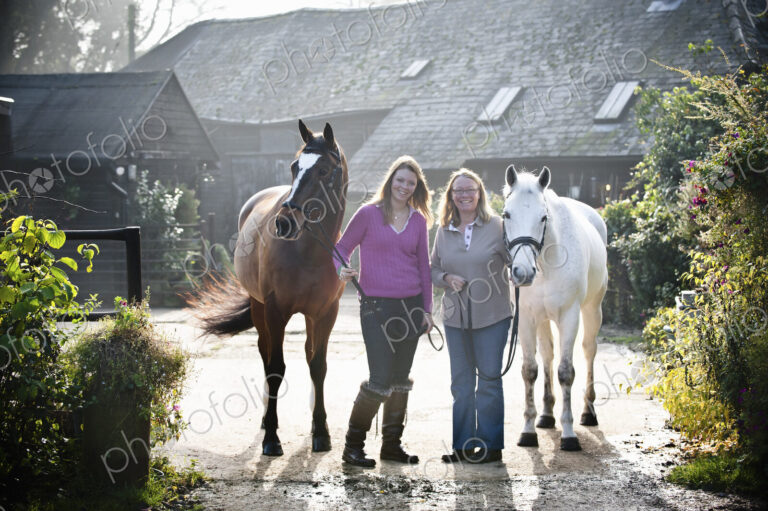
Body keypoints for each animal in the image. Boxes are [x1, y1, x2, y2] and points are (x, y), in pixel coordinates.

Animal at [192, 119, 347, 456]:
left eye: (324, 171)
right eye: (294, 166)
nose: (284, 223)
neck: (308, 252)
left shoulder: (326, 313)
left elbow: (318, 366)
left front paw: (321, 432)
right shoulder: (276, 311)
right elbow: (275, 367)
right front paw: (272, 438)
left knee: (308, 354)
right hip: (258, 306)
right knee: (264, 355)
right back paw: (266, 420)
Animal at [501, 164, 608, 451]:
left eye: (543, 217)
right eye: (507, 214)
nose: (522, 272)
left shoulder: (569, 316)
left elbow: (566, 372)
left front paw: (569, 434)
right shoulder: (527, 318)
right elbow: (530, 371)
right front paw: (528, 431)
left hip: (592, 310)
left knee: (589, 350)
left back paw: (588, 412)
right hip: (543, 320)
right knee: (547, 356)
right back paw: (547, 416)